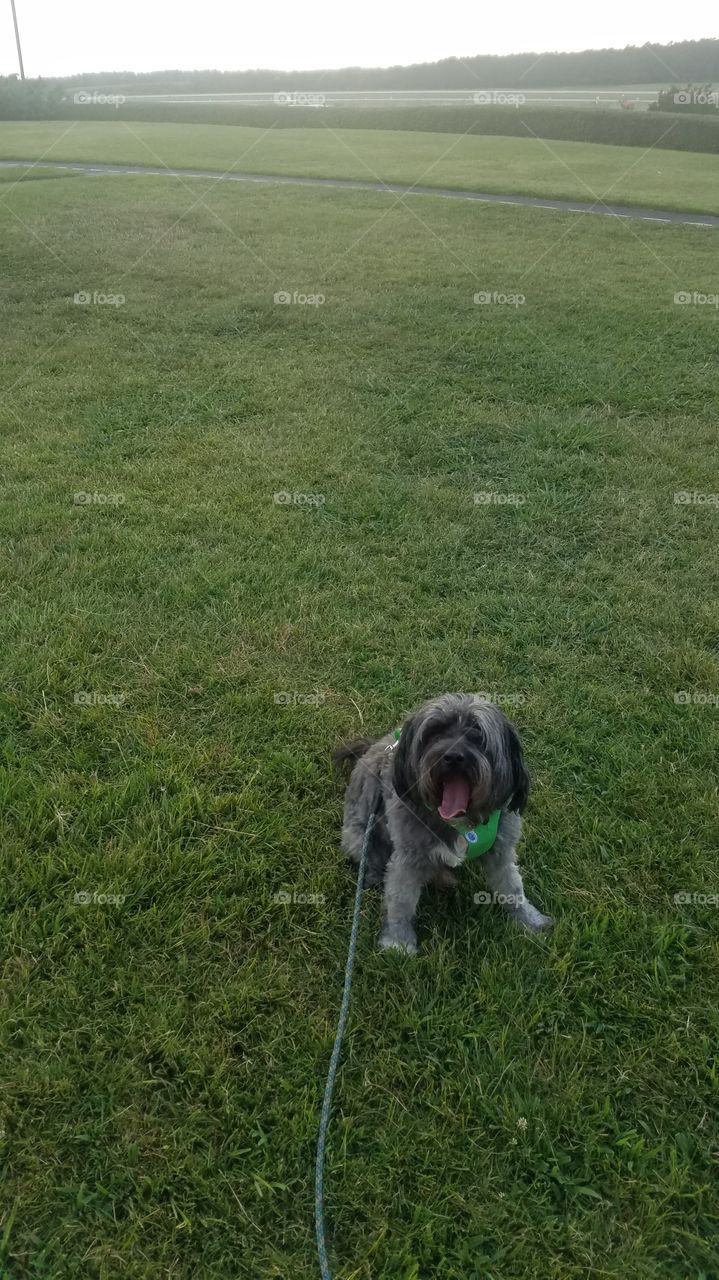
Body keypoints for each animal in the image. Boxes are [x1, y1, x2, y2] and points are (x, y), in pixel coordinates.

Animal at [332, 696, 550, 957]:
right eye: (434, 732)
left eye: (477, 733)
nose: (453, 756)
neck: (461, 823)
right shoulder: (407, 857)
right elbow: (401, 899)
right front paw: (398, 941)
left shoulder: (501, 849)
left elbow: (511, 886)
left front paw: (529, 920)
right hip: (357, 836)